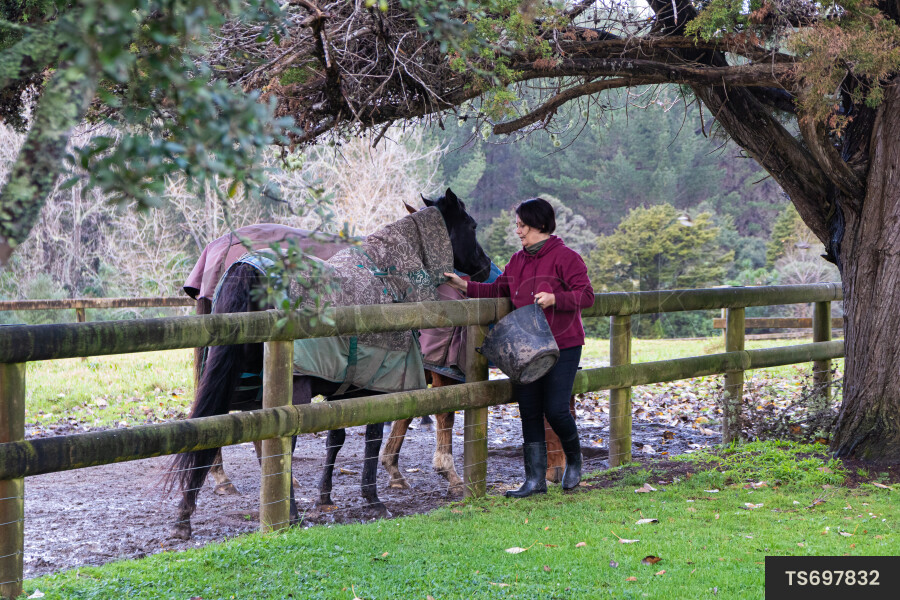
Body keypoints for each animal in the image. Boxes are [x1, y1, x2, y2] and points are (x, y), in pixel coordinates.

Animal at [167, 189, 491, 539]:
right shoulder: (375, 386)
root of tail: (247, 269)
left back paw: (185, 517)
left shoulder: (345, 386)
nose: (485, 267)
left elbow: (336, 438)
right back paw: (287, 512)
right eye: (472, 225)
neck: (387, 278)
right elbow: (374, 436)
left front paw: (325, 497)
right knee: (278, 444)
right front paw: (374, 499)